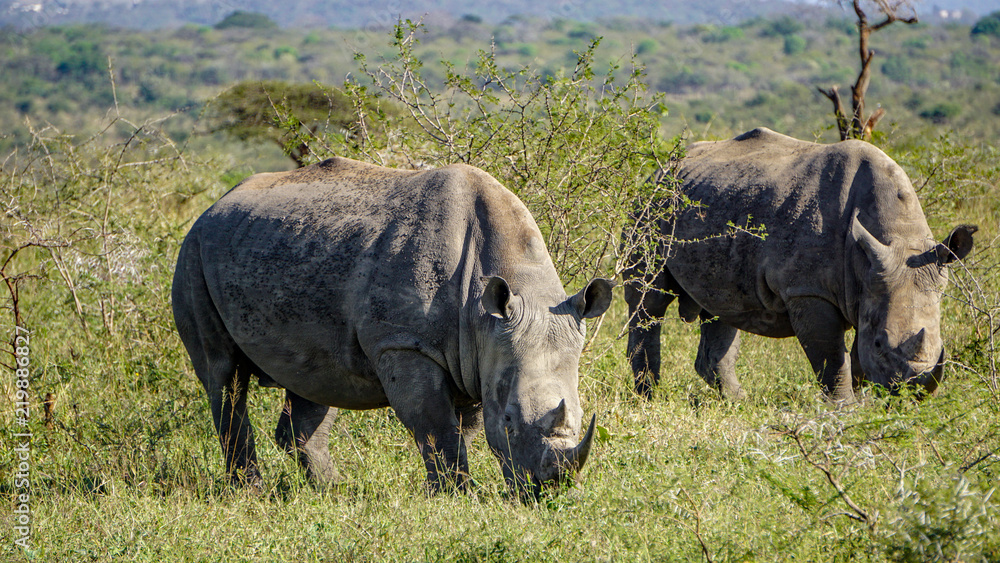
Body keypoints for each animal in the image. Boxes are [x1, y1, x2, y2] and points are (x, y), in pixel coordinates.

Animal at [172, 156, 612, 498]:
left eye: (579, 414)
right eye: (509, 421)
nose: (548, 487)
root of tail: (213, 206)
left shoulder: (480, 350)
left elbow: (462, 429)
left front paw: (452, 490)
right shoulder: (404, 342)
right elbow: (435, 425)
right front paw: (457, 497)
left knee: (317, 377)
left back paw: (332, 493)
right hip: (193, 254)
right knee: (222, 374)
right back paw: (251, 492)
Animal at [624, 128, 975, 403]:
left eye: (940, 347)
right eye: (879, 344)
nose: (909, 395)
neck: (896, 235)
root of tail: (661, 168)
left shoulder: (873, 282)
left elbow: (855, 357)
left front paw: (863, 405)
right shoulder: (808, 290)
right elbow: (832, 359)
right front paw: (844, 410)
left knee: (724, 305)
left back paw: (738, 403)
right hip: (647, 207)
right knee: (648, 299)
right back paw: (649, 398)